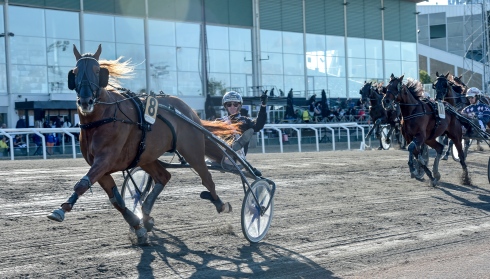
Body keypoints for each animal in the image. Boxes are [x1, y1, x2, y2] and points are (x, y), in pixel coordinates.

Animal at [46, 44, 243, 245]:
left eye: (97, 70)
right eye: (75, 72)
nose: (86, 101)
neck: (102, 118)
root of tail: (188, 111)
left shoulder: (105, 160)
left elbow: (82, 183)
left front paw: (61, 209)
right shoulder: (100, 167)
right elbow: (116, 200)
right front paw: (137, 226)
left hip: (192, 149)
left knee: (207, 178)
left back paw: (221, 204)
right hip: (146, 156)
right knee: (163, 176)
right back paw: (146, 214)